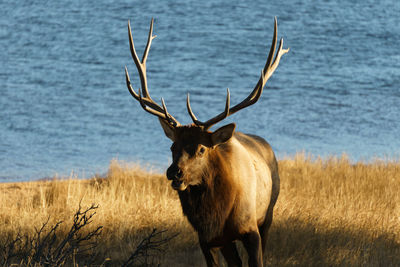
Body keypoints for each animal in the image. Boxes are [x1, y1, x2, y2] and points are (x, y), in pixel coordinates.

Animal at [124, 17, 288, 267]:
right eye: (172, 147)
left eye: (201, 149)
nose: (175, 172)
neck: (218, 214)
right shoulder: (206, 239)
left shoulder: (251, 229)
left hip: (268, 214)